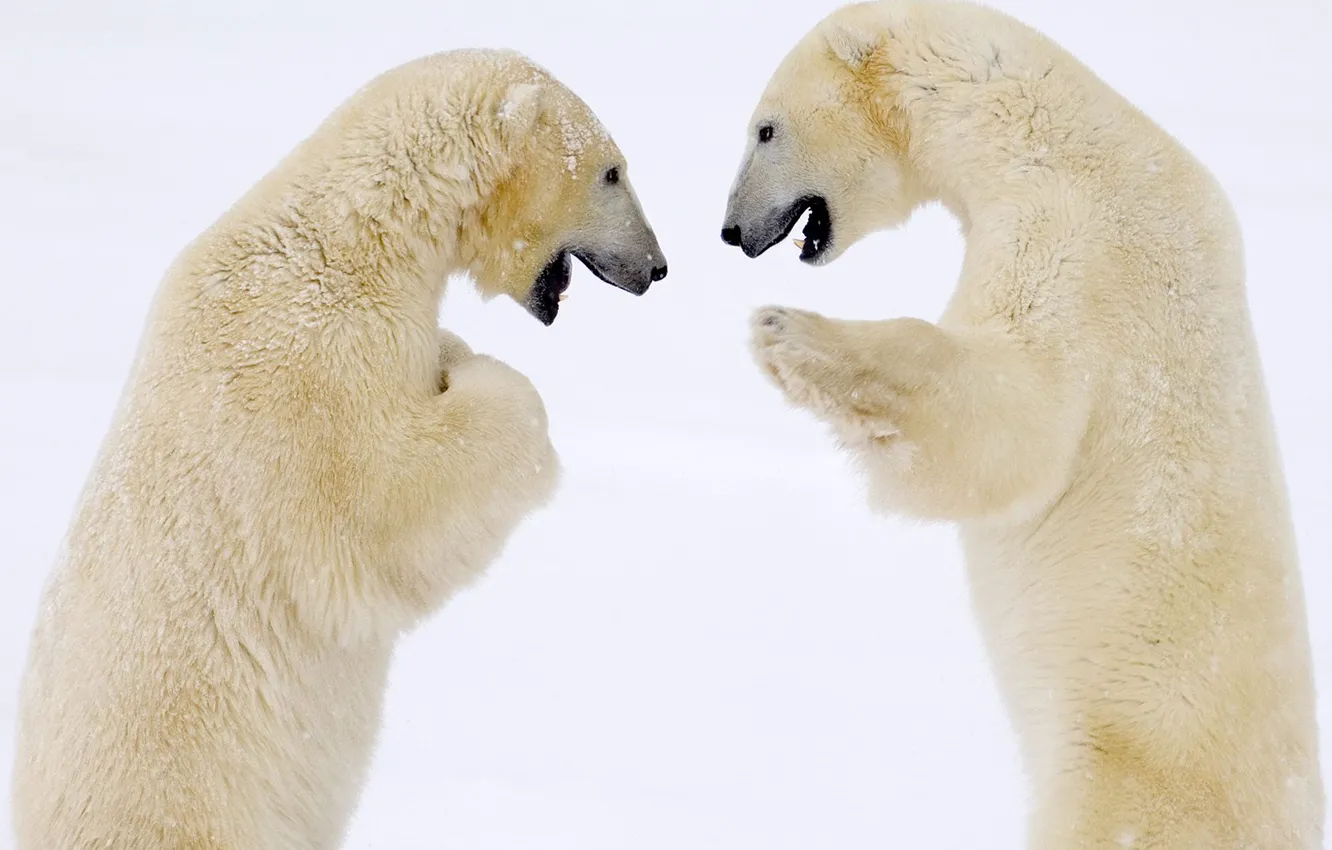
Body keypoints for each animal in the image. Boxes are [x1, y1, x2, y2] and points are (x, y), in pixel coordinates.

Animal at [12, 48, 666, 850]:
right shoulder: (310, 363)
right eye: (612, 171)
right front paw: (480, 375)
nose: (656, 267)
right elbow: (381, 508)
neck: (353, 235)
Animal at [720, 2, 1323, 847]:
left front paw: (790, 332)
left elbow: (1016, 423)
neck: (1051, 134)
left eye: (765, 129)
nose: (731, 232)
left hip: (1124, 778)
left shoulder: (1079, 242)